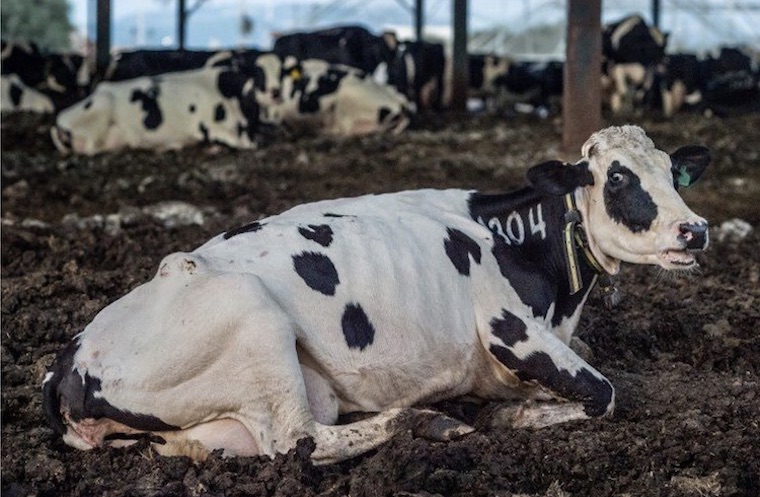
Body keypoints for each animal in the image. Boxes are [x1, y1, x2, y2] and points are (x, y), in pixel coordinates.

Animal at [43, 125, 711, 464]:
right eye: (618, 176)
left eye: (672, 173)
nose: (696, 229)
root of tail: (69, 362)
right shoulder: (507, 328)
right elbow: (604, 393)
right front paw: (510, 415)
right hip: (256, 322)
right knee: (298, 441)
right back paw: (425, 420)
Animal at [51, 67, 265, 155]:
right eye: (250, 103)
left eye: (256, 107)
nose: (256, 139)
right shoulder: (207, 126)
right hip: (102, 106)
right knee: (90, 148)